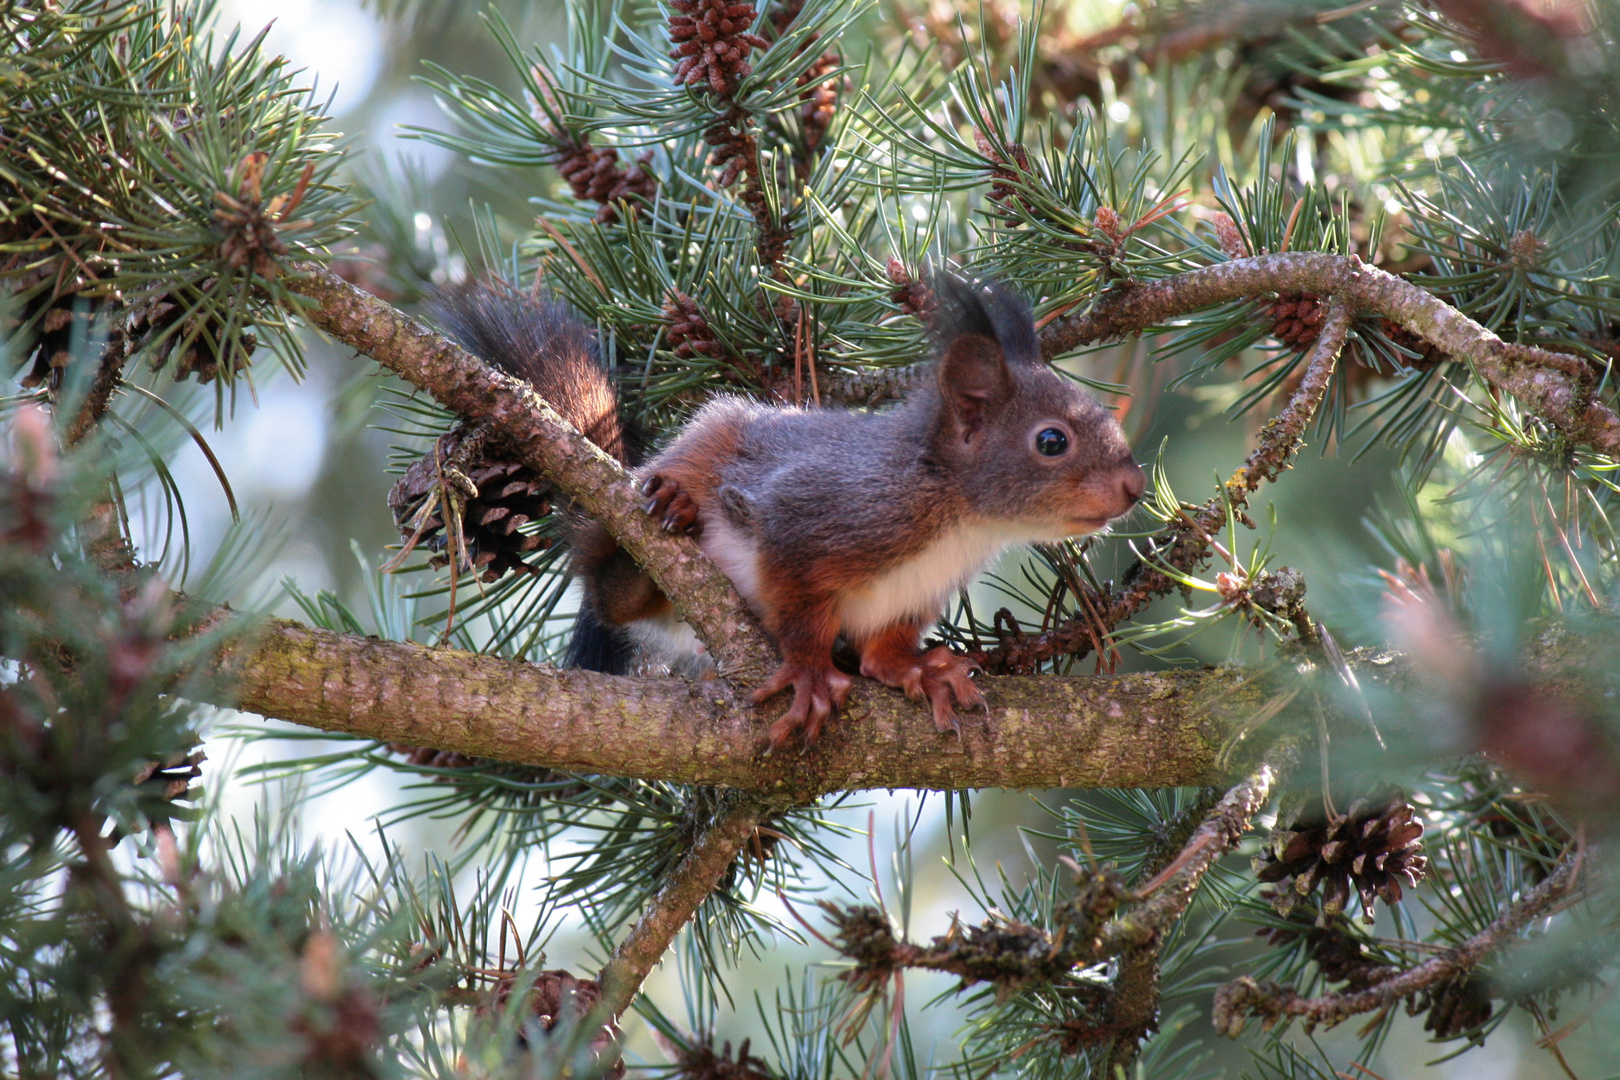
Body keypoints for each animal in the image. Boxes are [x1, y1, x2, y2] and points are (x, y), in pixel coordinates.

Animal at [430, 275, 1140, 751]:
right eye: (1052, 441)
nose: (1135, 487)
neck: (961, 520)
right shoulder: (819, 515)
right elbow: (798, 604)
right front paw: (809, 675)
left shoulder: (913, 595)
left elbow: (885, 651)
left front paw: (922, 672)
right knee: (611, 593)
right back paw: (662, 523)